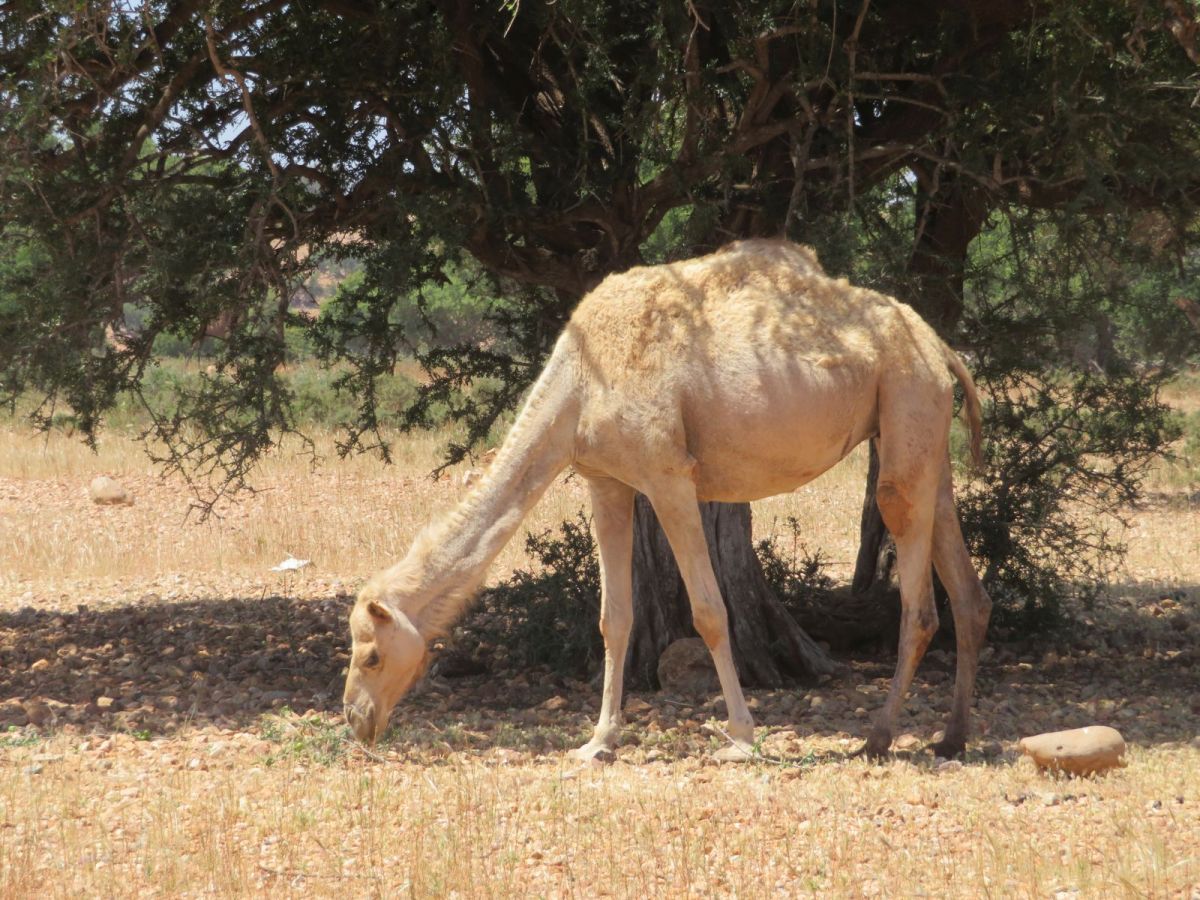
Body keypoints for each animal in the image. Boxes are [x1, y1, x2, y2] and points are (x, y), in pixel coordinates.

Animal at [343, 239, 992, 761]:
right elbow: (614, 617)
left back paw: (879, 737)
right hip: (923, 431)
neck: (580, 382)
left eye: (371, 656)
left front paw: (741, 738)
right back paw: (953, 737)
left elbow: (709, 611)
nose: (355, 720)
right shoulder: (606, 480)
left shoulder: (668, 474)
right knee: (966, 587)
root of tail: (940, 347)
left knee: (917, 595)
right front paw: (597, 742)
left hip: (905, 401)